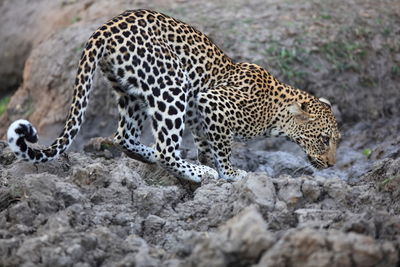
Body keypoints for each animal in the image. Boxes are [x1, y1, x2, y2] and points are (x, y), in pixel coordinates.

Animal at [7, 8, 340, 184]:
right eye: (324, 139)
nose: (333, 165)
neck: (276, 112)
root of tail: (106, 27)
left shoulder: (203, 122)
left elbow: (208, 146)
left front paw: (211, 167)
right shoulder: (213, 104)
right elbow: (224, 151)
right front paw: (232, 174)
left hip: (131, 92)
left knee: (125, 137)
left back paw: (162, 159)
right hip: (171, 86)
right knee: (166, 149)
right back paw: (197, 172)